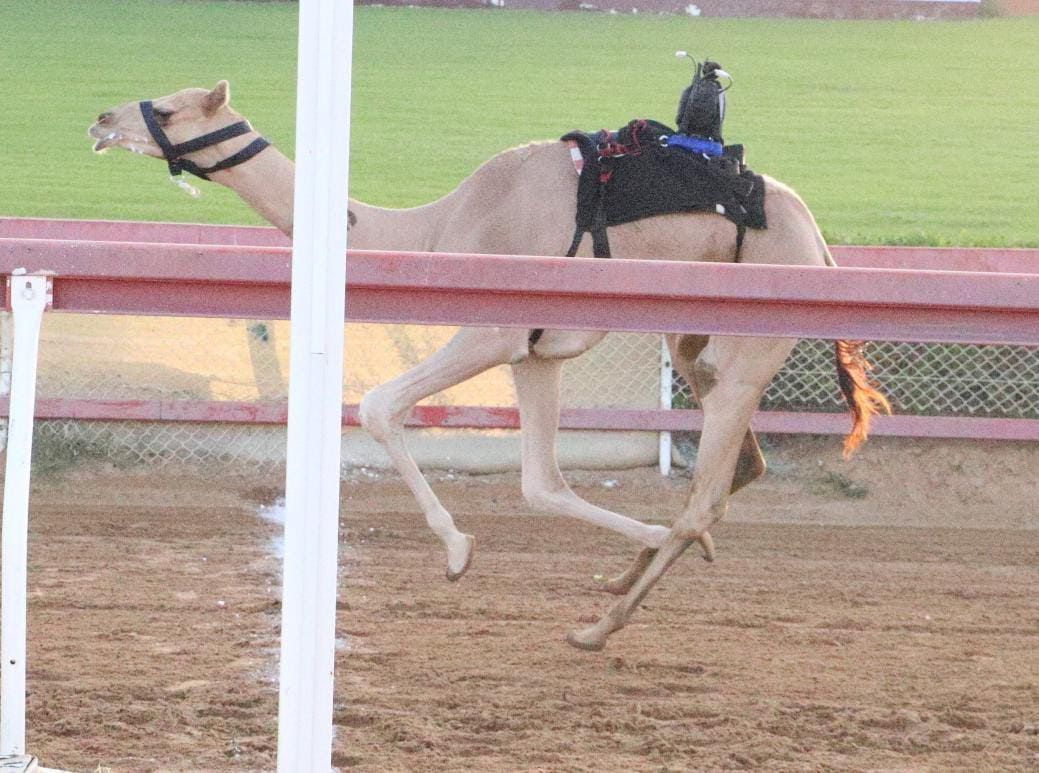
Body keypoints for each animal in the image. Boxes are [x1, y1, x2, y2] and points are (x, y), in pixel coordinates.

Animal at [85, 81, 889, 648]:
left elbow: (378, 405)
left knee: (704, 496)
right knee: (736, 466)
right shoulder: (537, 351)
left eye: (166, 107)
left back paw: (599, 627)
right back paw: (632, 574)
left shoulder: (493, 330)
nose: (98, 119)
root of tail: (821, 245)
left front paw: (456, 551)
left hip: (753, 340)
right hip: (694, 339)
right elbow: (541, 483)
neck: (436, 228)